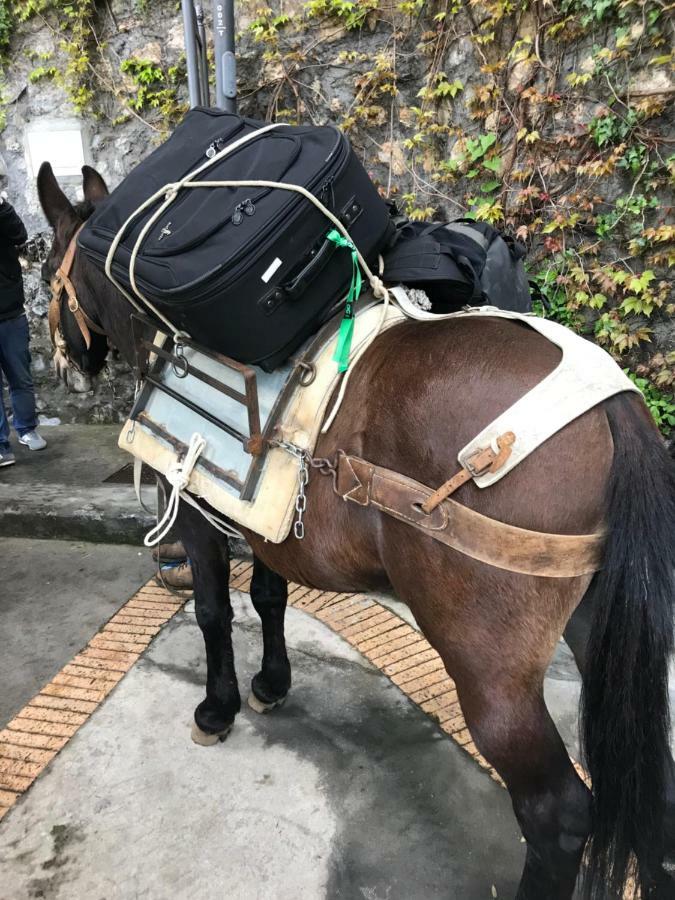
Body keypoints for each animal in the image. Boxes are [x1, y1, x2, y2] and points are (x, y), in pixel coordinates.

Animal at [38, 163, 675, 900]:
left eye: (46, 268)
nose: (67, 366)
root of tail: (612, 406)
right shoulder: (268, 525)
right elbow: (268, 598)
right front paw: (271, 684)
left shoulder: (192, 505)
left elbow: (213, 611)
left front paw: (218, 708)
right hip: (599, 624)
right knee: (654, 789)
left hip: (490, 669)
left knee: (557, 812)